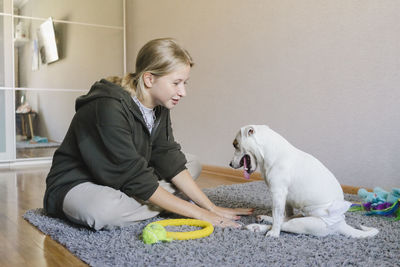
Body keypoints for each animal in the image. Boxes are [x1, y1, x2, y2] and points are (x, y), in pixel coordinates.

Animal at [230, 125, 380, 239]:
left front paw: (274, 233)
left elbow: (278, 216)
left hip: (304, 224)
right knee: (289, 218)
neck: (269, 152)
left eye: (235, 145)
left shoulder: (278, 193)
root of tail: (341, 223)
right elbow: (284, 214)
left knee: (286, 224)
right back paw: (264, 219)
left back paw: (257, 227)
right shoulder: (286, 198)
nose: (230, 164)